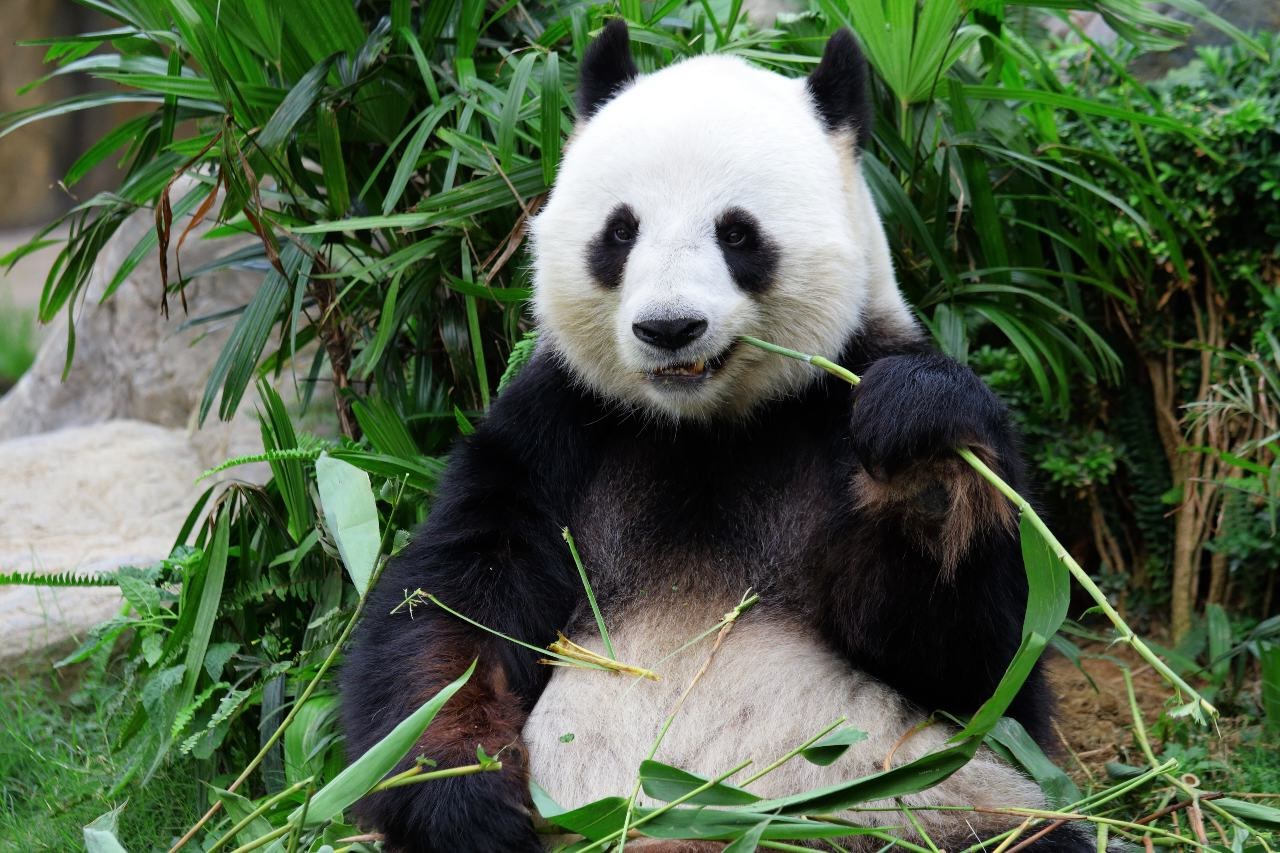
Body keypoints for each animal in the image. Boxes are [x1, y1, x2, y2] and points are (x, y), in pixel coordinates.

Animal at [342, 20, 1086, 853]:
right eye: (620, 230)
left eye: (737, 232)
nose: (669, 327)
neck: (706, 427)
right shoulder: (557, 430)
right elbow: (451, 610)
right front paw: (466, 799)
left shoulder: (837, 394)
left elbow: (981, 666)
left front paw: (921, 456)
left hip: (919, 806)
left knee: (1013, 829)